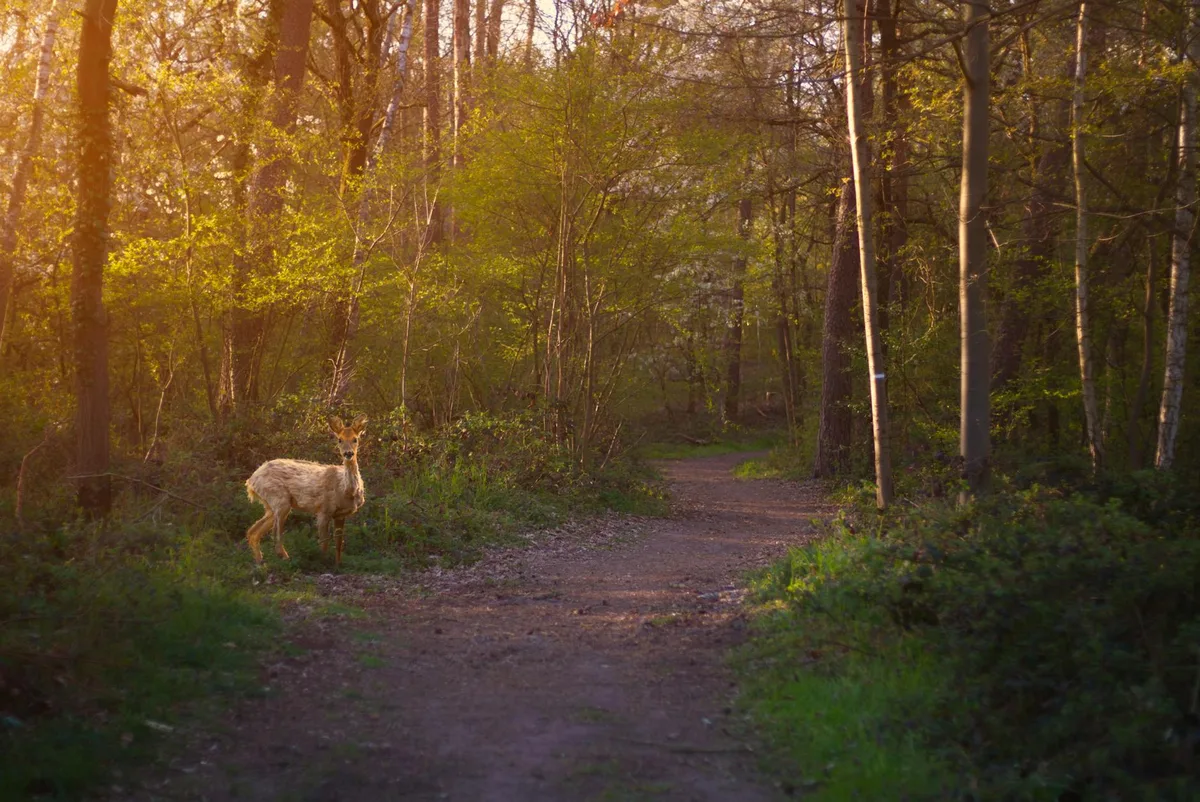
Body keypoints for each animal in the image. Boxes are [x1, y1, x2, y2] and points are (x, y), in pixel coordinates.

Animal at [244, 415, 367, 567]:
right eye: (339, 439)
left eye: (355, 439)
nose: (348, 453)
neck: (346, 490)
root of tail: (251, 481)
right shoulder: (324, 509)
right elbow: (324, 542)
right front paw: (323, 563)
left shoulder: (340, 514)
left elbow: (339, 543)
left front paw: (338, 564)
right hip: (279, 499)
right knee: (275, 534)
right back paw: (286, 559)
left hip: (270, 506)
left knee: (253, 531)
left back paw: (260, 563)